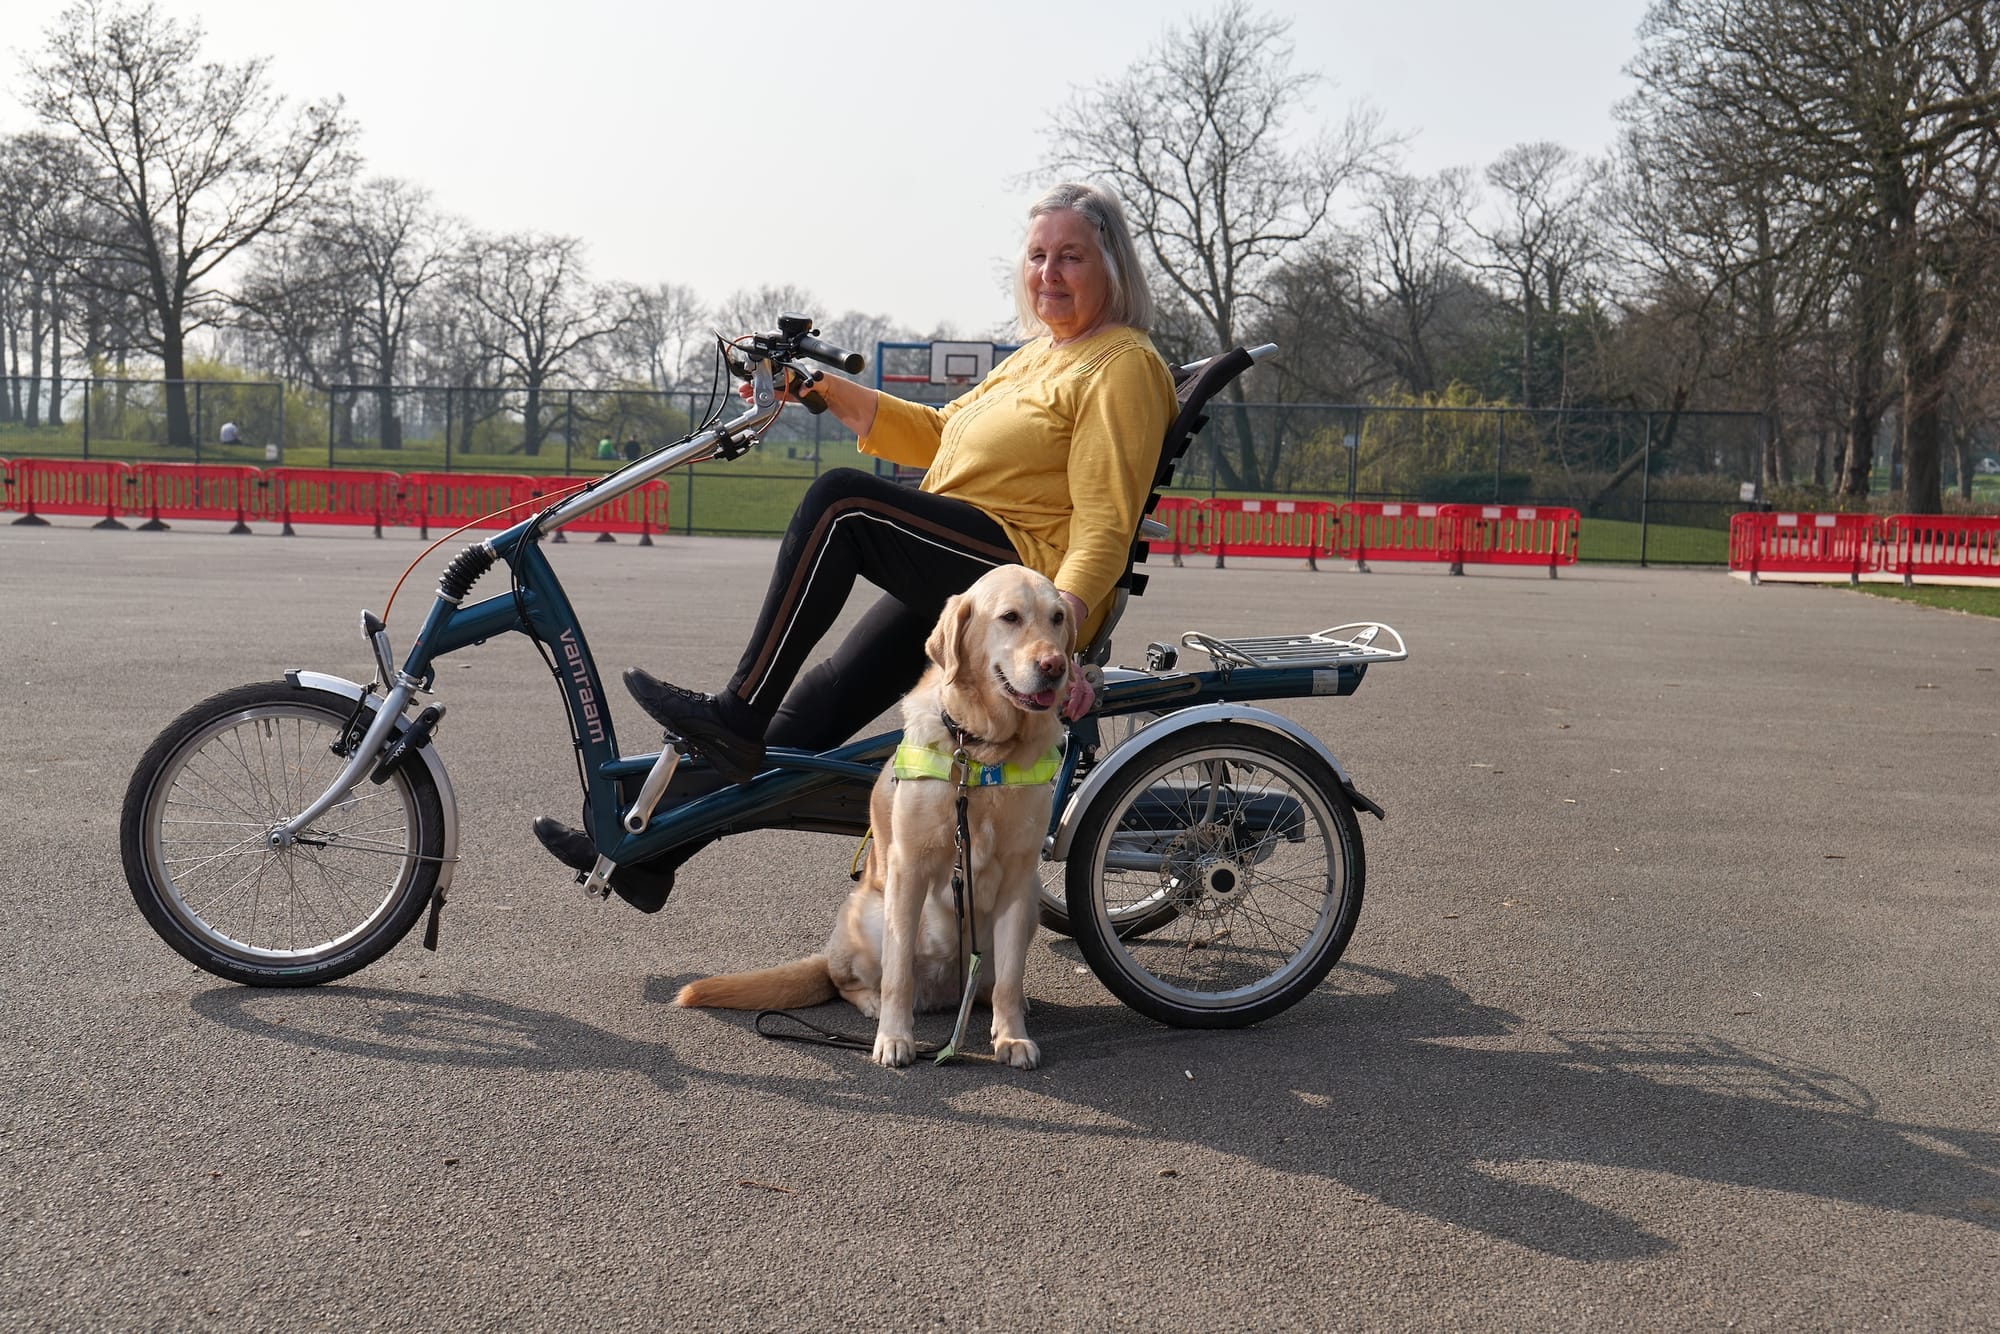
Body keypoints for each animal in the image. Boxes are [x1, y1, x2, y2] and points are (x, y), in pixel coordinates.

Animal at [676, 568, 1080, 1072]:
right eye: (1010, 617)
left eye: (1058, 618)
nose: (1055, 666)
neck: (982, 752)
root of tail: (947, 993)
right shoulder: (909, 869)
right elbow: (898, 973)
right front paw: (894, 1037)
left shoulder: (1018, 876)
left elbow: (1009, 975)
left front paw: (1012, 1037)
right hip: (869, 913)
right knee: (847, 979)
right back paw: (872, 1005)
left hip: (1026, 911)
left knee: (991, 982)